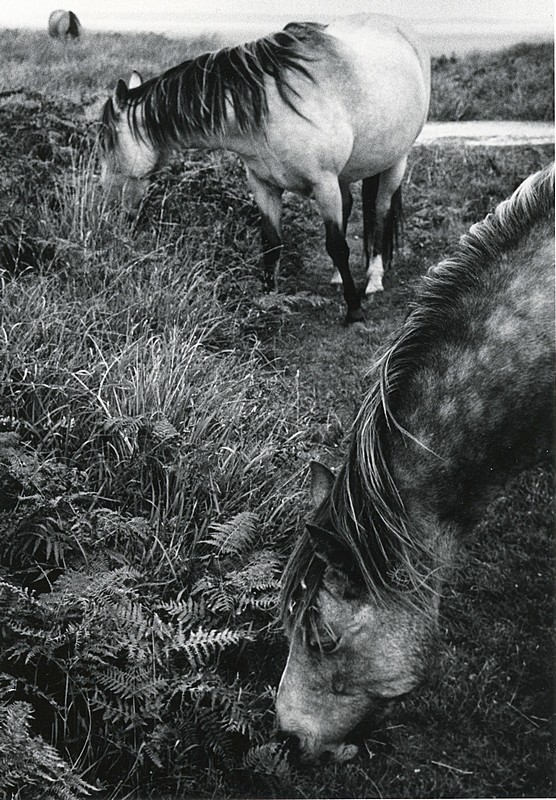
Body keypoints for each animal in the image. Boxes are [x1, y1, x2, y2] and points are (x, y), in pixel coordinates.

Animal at [99, 14, 430, 324]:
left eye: (106, 142)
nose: (109, 213)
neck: (271, 108)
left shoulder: (323, 183)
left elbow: (337, 244)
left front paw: (354, 310)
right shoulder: (264, 185)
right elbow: (271, 243)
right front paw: (267, 300)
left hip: (395, 162)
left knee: (381, 213)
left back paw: (374, 279)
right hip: (344, 175)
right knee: (350, 204)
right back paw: (338, 276)